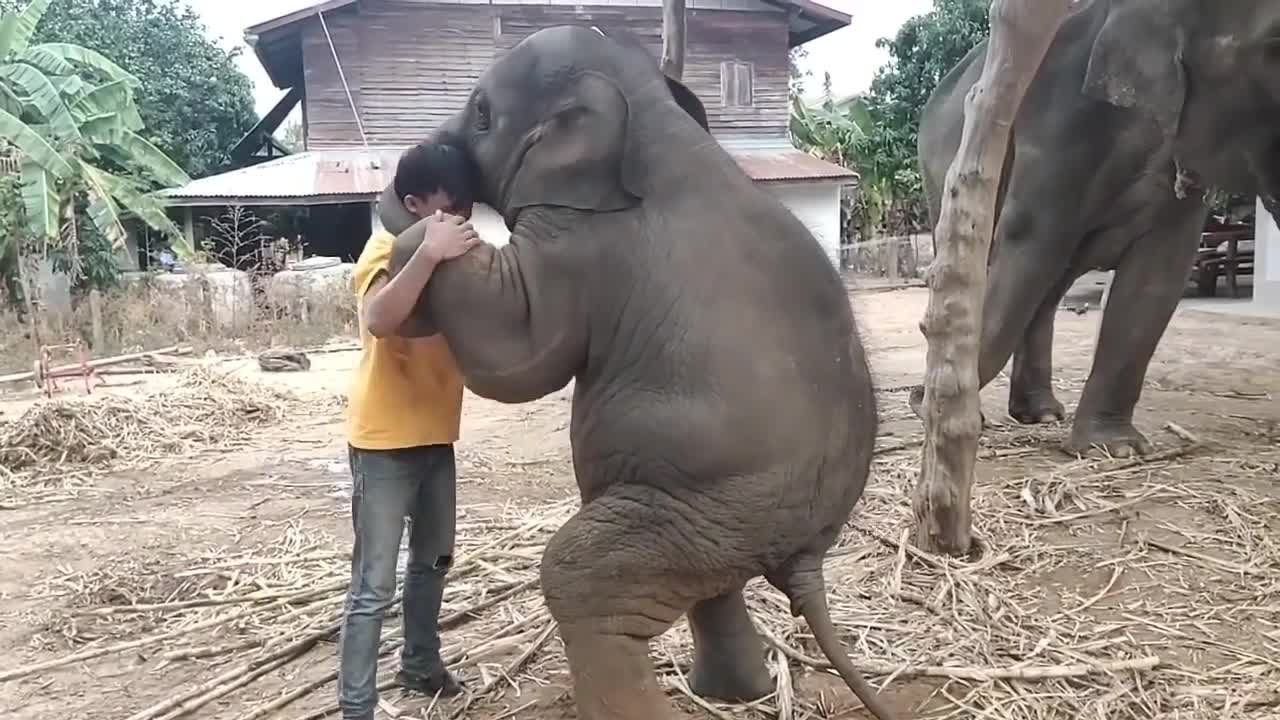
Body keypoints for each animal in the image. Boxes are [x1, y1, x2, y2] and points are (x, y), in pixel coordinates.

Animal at [376, 25, 896, 720]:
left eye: (482, 113)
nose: (416, 173)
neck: (651, 115)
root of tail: (809, 556)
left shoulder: (583, 245)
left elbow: (519, 357)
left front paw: (419, 237)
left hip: (714, 505)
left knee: (580, 578)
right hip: (714, 522)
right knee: (710, 585)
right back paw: (734, 694)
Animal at [909, 0, 1280, 456]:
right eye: (1276, 47)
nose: (917, 395)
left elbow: (1160, 270)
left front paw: (1117, 450)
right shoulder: (1062, 125)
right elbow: (1029, 237)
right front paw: (931, 407)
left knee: (1050, 283)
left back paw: (1040, 414)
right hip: (938, 169)